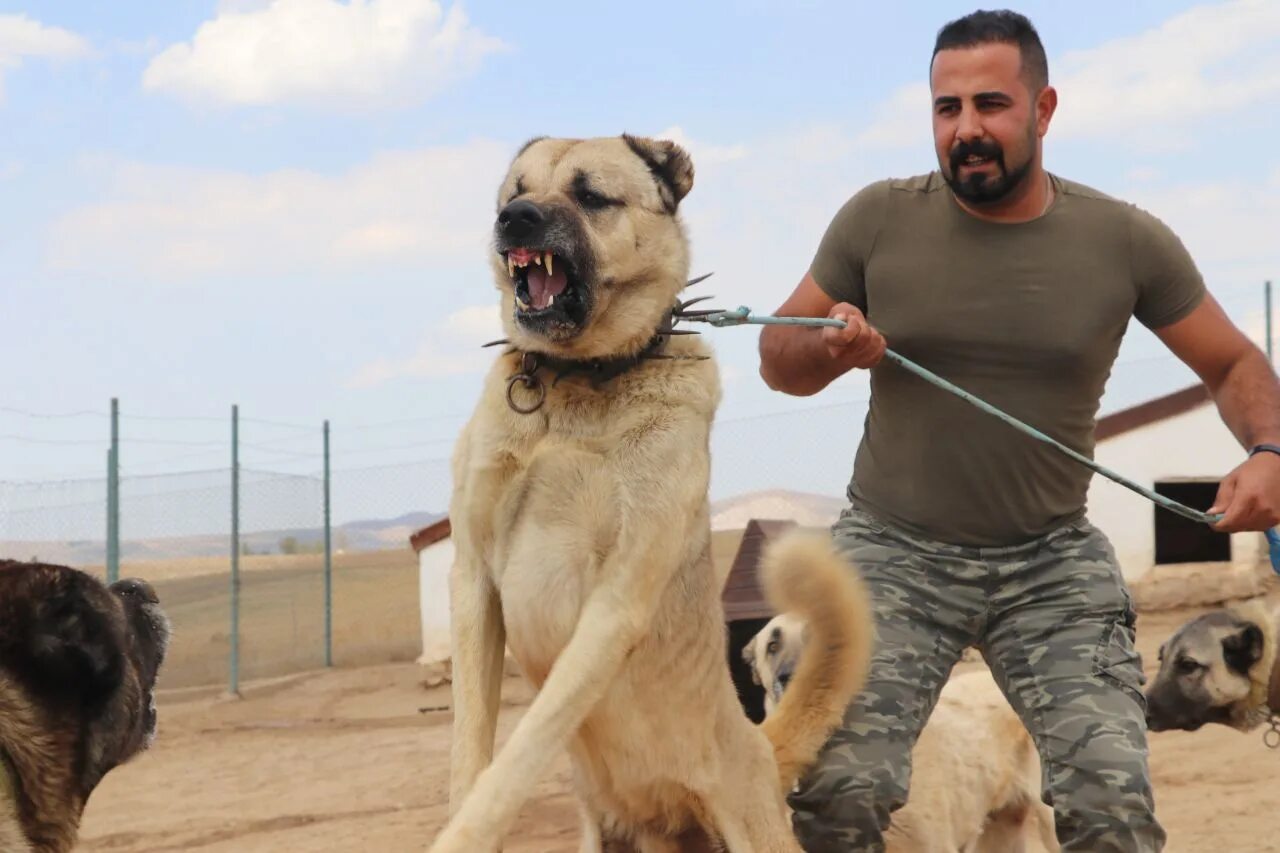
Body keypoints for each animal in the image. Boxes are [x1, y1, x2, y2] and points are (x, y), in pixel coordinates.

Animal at [435, 136, 875, 845]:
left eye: (590, 195)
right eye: (515, 192)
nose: (515, 220)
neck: (578, 379)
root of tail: (755, 741)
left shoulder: (615, 603)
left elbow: (521, 750)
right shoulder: (473, 581)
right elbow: (470, 754)